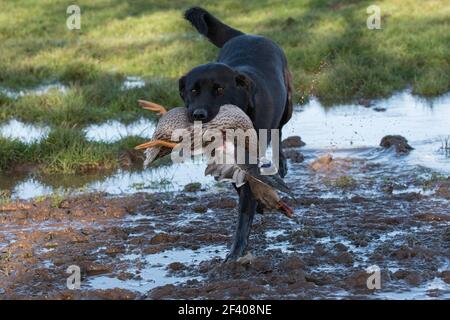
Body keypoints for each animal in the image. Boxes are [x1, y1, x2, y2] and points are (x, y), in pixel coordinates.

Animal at [181, 6, 294, 260]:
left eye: (219, 90)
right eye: (193, 91)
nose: (198, 114)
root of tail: (246, 35)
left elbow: (245, 206)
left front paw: (236, 252)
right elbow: (240, 185)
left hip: (288, 106)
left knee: (280, 131)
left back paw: (281, 163)